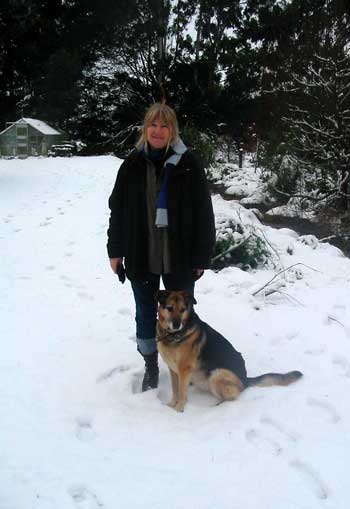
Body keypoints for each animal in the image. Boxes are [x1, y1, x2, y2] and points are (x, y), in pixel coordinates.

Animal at [154, 292, 302, 410]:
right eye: (169, 308)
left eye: (183, 310)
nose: (177, 325)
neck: (172, 335)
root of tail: (245, 380)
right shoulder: (174, 370)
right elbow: (175, 390)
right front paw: (171, 405)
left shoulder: (184, 370)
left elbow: (182, 393)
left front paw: (178, 410)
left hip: (217, 374)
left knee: (231, 398)